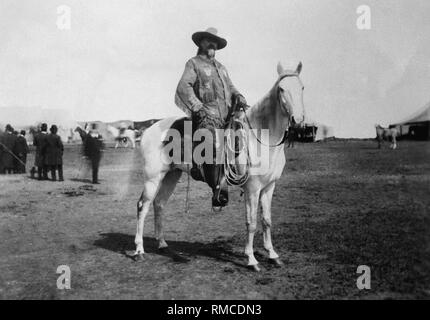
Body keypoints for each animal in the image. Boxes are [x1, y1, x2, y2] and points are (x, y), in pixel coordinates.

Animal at [133, 62, 304, 270]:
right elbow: (252, 222)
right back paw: (139, 250)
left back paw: (162, 244)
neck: (262, 138)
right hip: (152, 177)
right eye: (281, 89)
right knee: (143, 206)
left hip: (171, 175)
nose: (298, 121)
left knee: (159, 204)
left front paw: (272, 255)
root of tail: (147, 129)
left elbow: (267, 220)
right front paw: (251, 259)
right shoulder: (253, 189)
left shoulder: (269, 187)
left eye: (302, 87)